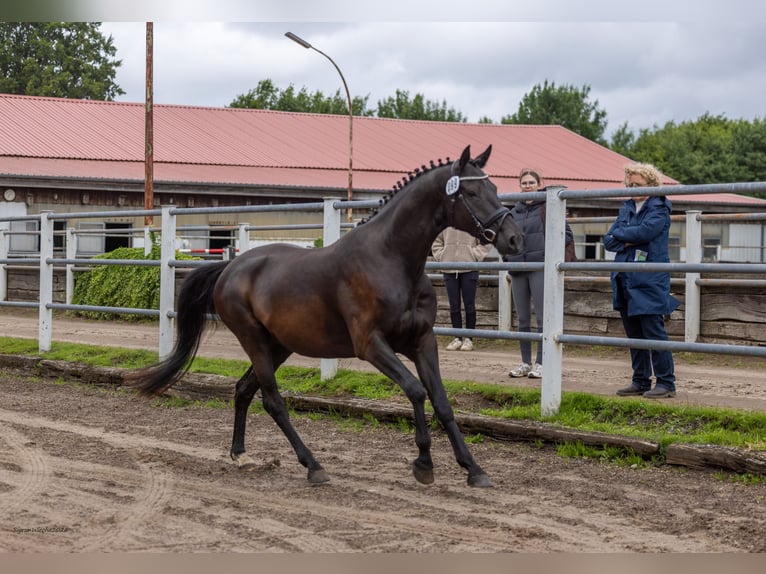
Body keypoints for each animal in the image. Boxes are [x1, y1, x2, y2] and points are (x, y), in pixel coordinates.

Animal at [125, 144, 523, 488]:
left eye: (494, 187)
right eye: (471, 192)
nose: (514, 239)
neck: (392, 260)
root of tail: (231, 266)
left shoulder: (422, 341)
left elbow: (441, 401)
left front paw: (474, 469)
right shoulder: (371, 345)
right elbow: (414, 391)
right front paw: (424, 465)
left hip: (278, 345)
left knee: (243, 390)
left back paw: (241, 455)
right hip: (254, 341)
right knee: (273, 401)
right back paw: (313, 466)